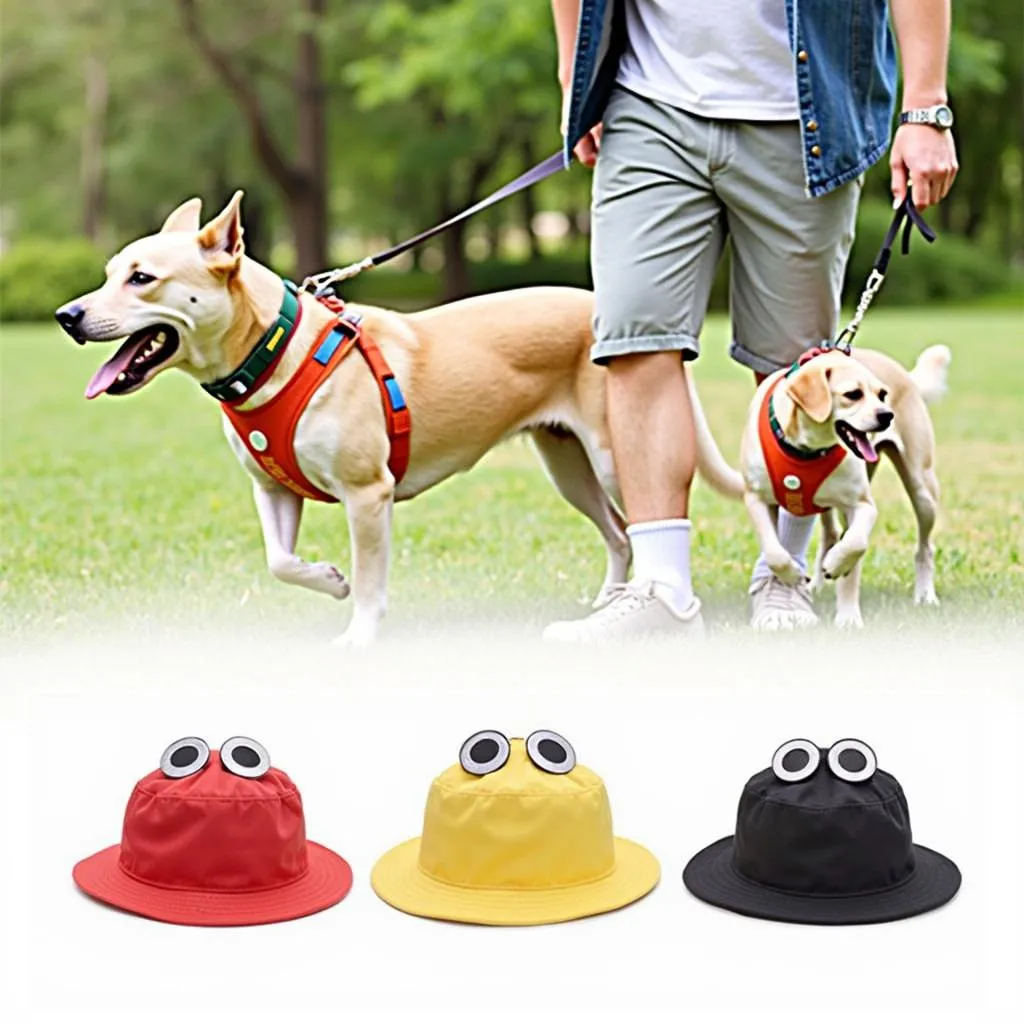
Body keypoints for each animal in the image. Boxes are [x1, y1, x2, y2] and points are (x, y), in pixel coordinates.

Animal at [56, 192, 745, 643]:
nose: (66, 314)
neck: (273, 348)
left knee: (645, 518)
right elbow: (280, 562)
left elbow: (370, 580)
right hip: (566, 463)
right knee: (621, 531)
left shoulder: (368, 494)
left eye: (142, 279)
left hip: (610, 453)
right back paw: (607, 601)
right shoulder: (272, 490)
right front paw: (328, 579)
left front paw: (358, 632)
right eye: (110, 273)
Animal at [741, 348, 946, 626]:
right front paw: (793, 575)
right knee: (831, 533)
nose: (887, 415)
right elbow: (774, 551)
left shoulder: (862, 504)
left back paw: (925, 594)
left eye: (882, 394)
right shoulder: (756, 498)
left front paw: (847, 614)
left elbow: (855, 546)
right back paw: (816, 584)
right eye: (853, 394)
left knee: (924, 548)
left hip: (922, 490)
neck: (808, 449)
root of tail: (908, 377)